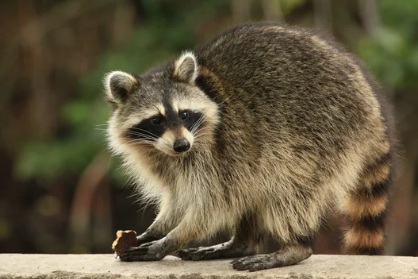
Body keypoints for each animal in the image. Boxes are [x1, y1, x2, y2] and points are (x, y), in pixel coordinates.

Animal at [104, 23, 396, 272]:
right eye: (156, 120)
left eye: (184, 114)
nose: (182, 145)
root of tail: (371, 104)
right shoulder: (166, 160)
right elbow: (179, 197)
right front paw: (157, 228)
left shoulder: (216, 150)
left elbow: (210, 205)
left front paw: (170, 240)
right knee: (252, 188)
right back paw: (240, 243)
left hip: (324, 132)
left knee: (289, 187)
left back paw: (294, 247)